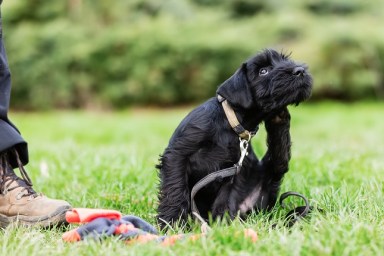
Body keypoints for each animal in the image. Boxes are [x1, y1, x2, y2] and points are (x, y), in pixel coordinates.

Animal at [156, 48, 312, 228]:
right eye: (263, 71)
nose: (300, 71)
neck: (230, 123)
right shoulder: (178, 154)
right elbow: (175, 189)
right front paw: (171, 223)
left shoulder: (234, 171)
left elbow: (225, 198)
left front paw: (220, 225)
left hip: (268, 176)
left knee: (279, 160)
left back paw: (279, 117)